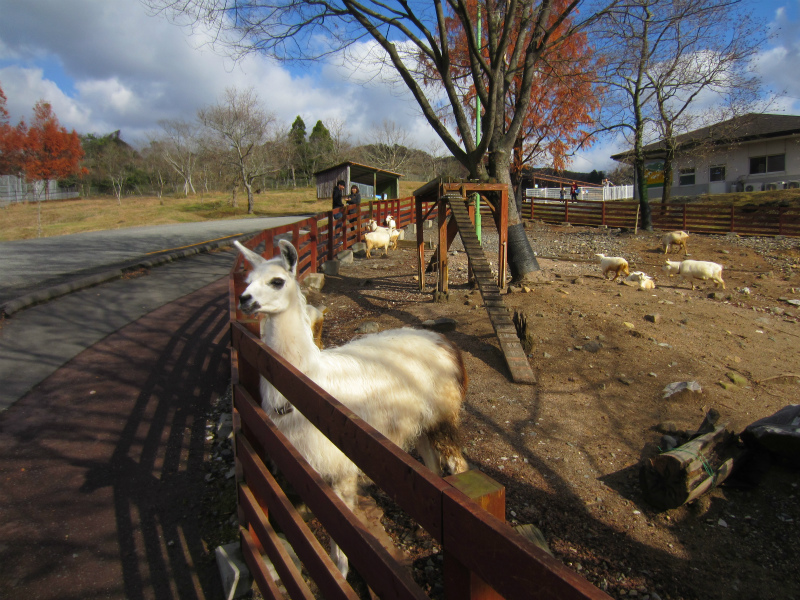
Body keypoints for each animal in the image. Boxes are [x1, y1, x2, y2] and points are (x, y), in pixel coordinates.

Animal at [233, 239, 468, 576]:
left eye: (277, 281)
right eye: (248, 280)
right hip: (419, 419)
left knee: (457, 464)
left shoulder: (340, 463)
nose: (245, 300)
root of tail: (445, 343)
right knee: (431, 463)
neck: (307, 386)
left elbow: (341, 535)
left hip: (443, 413)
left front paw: (341, 573)